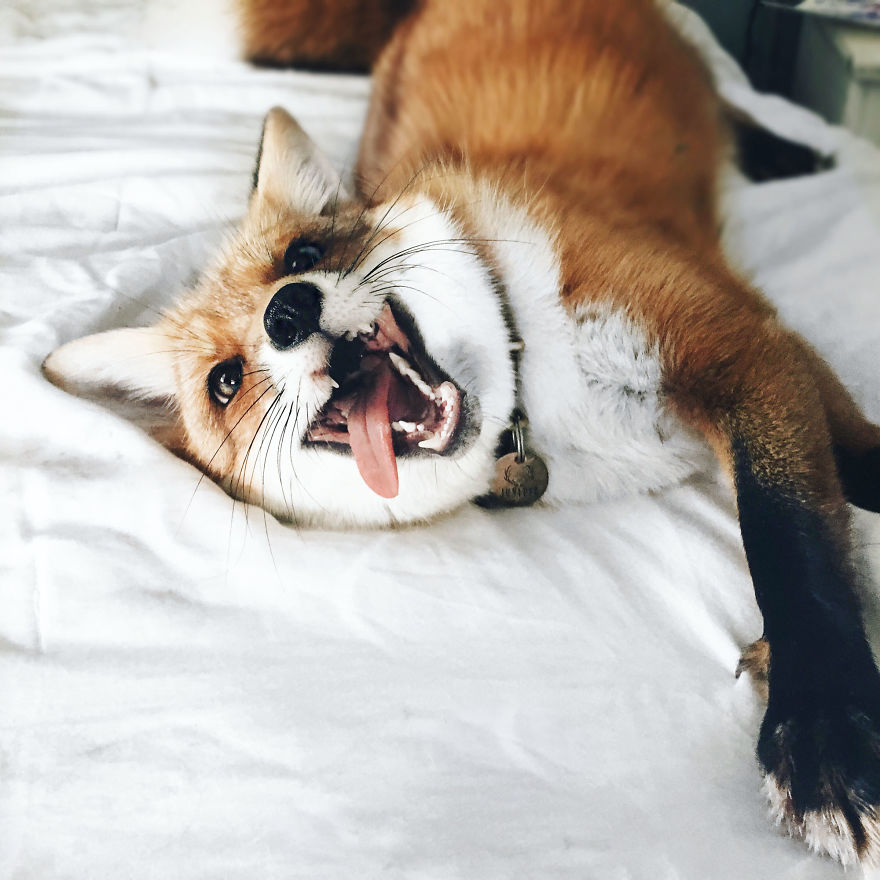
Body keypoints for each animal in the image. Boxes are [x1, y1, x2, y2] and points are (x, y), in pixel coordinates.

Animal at [42, 0, 880, 867]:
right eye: (224, 382)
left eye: (302, 254)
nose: (288, 312)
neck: (534, 385)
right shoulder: (764, 362)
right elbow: (808, 521)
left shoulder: (746, 346)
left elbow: (790, 541)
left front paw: (824, 732)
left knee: (723, 98)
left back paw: (786, 149)